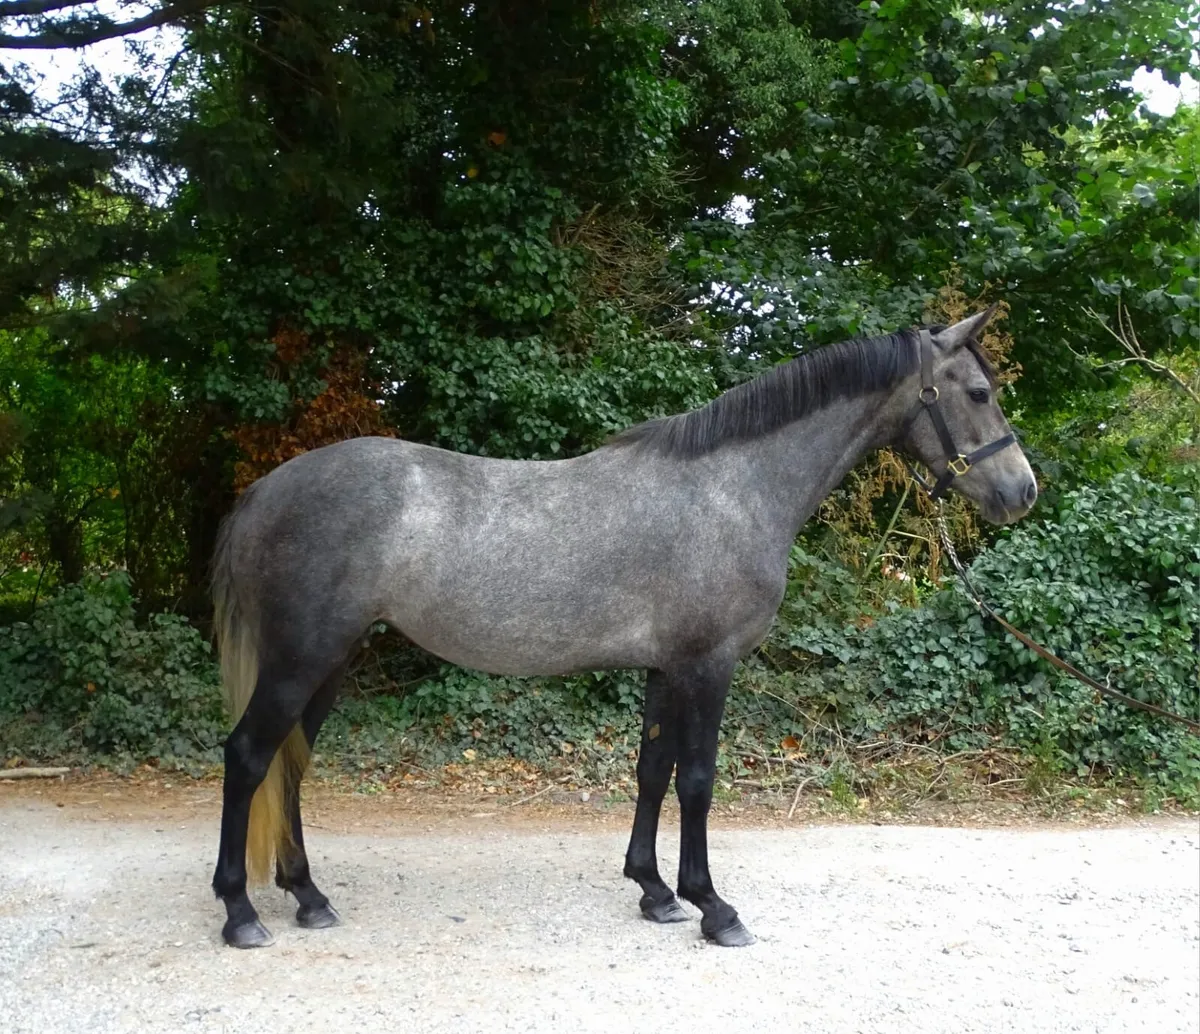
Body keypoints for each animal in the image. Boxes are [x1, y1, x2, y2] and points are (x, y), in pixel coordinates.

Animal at [210, 307, 1037, 949]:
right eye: (978, 392)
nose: (1022, 491)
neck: (733, 489)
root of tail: (265, 490)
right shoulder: (708, 665)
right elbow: (697, 780)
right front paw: (714, 908)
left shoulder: (665, 668)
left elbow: (652, 771)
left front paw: (655, 892)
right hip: (300, 658)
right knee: (249, 757)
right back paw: (241, 912)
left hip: (330, 661)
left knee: (290, 765)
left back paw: (308, 897)